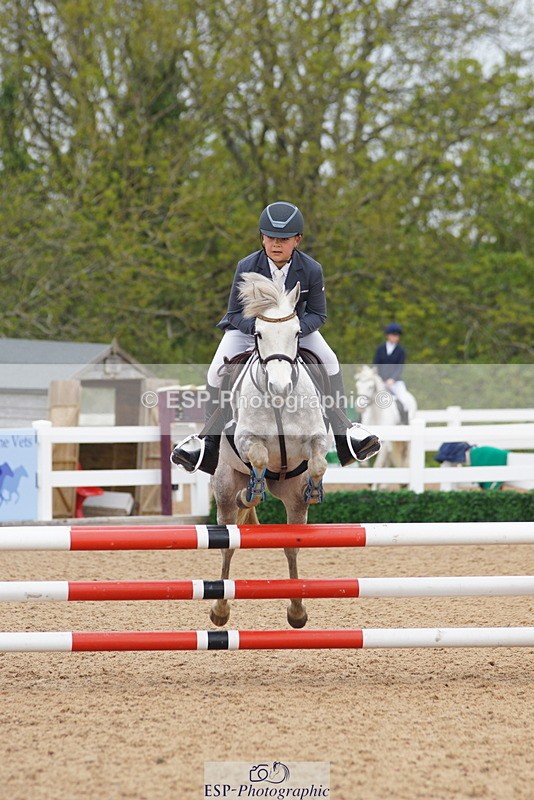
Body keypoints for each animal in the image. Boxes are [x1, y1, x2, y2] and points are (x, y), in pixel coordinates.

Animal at [210, 273, 330, 630]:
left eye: (297, 333)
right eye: (259, 334)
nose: (280, 387)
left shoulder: (316, 440)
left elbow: (318, 463)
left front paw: (314, 489)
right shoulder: (247, 440)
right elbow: (260, 457)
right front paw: (253, 490)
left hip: (291, 501)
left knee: (292, 547)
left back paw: (297, 610)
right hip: (224, 488)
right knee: (228, 543)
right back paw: (220, 610)